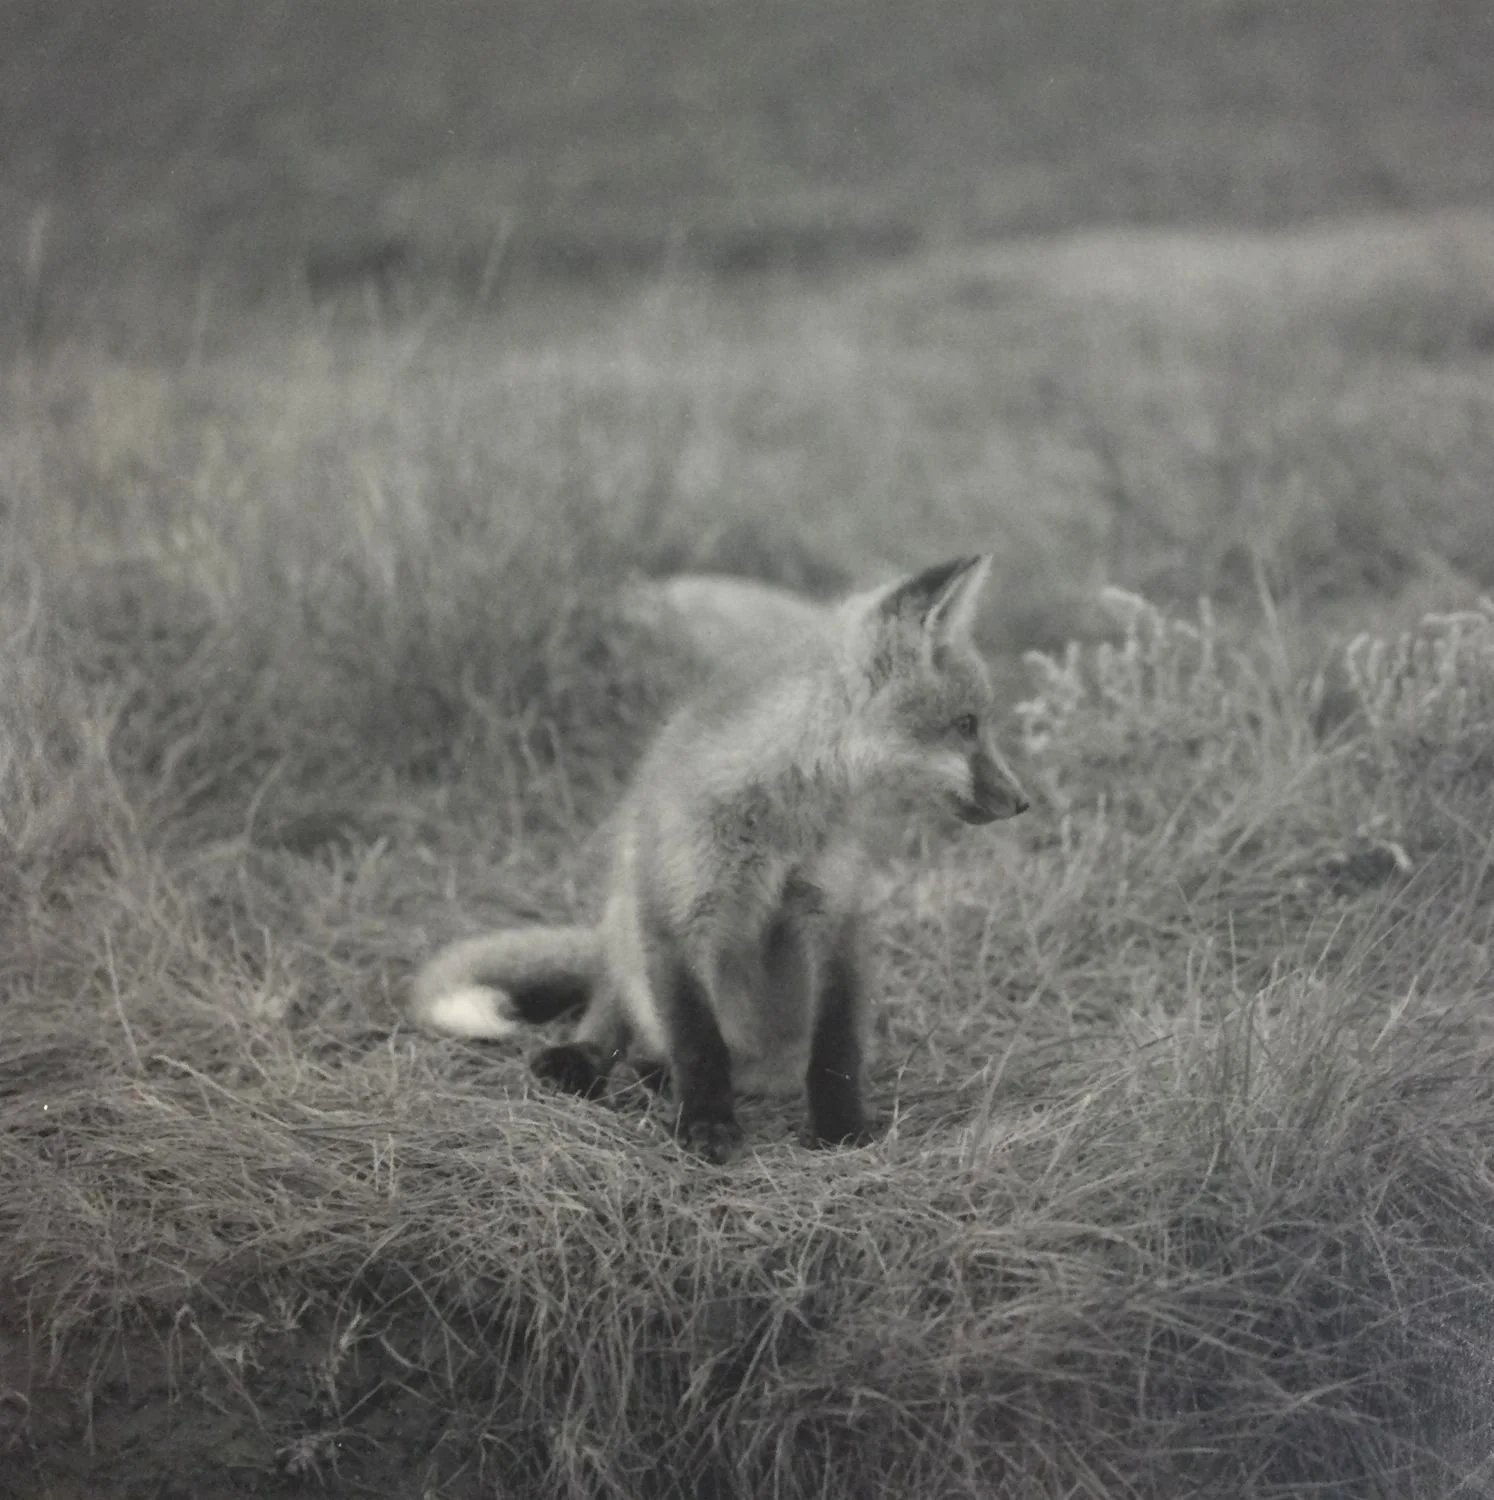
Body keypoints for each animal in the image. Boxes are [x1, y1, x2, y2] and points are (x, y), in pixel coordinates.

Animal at [410, 555, 1029, 1163]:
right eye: (967, 724)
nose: (1023, 802)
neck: (780, 814)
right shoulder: (677, 915)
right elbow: (698, 1042)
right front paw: (707, 1125)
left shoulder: (834, 913)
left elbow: (836, 1045)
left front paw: (840, 1129)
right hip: (626, 916)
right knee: (612, 1008)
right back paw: (593, 1060)